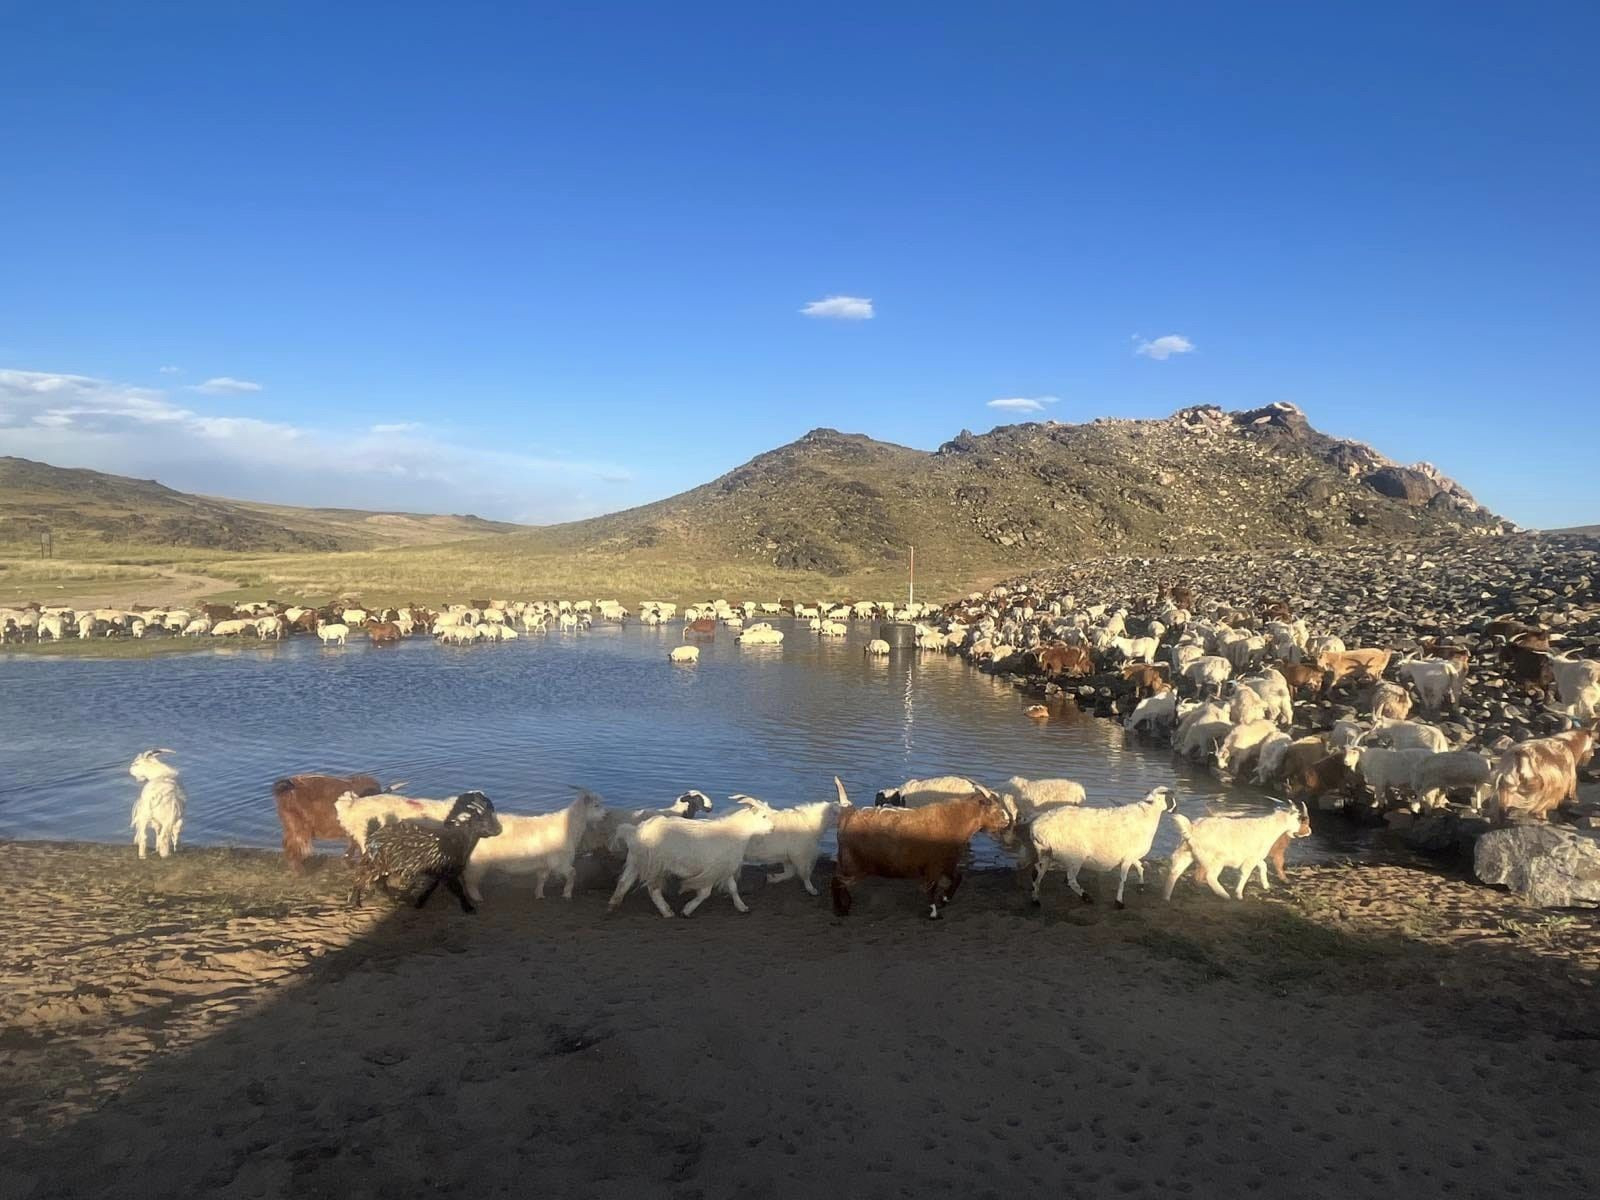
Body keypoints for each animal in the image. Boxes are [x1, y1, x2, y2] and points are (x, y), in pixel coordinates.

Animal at [467, 790, 614, 902]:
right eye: (596, 805)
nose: (607, 814)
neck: (569, 825)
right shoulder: (560, 862)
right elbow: (572, 873)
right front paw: (567, 893)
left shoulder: (545, 863)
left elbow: (542, 879)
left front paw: (539, 895)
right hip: (477, 862)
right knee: (471, 881)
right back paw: (476, 898)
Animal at [604, 800, 774, 921]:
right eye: (763, 816)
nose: (773, 829)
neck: (737, 832)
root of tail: (635, 831)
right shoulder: (710, 870)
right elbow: (705, 893)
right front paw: (687, 910)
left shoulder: (724, 867)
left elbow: (733, 888)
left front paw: (742, 907)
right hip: (655, 864)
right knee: (653, 889)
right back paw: (666, 911)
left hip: (637, 860)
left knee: (624, 882)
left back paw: (613, 904)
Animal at [832, 793, 1004, 928]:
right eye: (995, 809)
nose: (1007, 821)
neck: (954, 821)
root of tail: (847, 818)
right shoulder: (934, 866)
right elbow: (931, 889)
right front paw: (934, 913)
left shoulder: (947, 863)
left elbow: (958, 878)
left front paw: (945, 899)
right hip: (852, 865)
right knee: (836, 881)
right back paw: (840, 909)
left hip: (847, 863)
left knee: (838, 881)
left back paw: (845, 905)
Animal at [1024, 784, 1177, 908]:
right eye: (1172, 799)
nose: (1176, 810)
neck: (1148, 814)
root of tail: (1036, 827)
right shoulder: (1128, 857)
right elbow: (1123, 879)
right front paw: (1119, 902)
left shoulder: (1130, 854)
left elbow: (1140, 866)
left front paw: (1141, 885)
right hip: (1074, 856)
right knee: (1069, 880)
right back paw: (1086, 897)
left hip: (1045, 852)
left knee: (1037, 872)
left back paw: (1035, 899)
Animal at [1164, 803, 1312, 896]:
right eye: (1299, 819)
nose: (1309, 832)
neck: (1270, 827)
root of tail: (1191, 829)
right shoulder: (1251, 858)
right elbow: (1246, 873)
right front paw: (1239, 894)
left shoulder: (1255, 856)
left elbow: (1263, 866)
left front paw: (1266, 885)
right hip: (1214, 860)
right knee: (1209, 877)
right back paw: (1224, 895)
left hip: (1185, 853)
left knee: (1175, 872)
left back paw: (1166, 897)